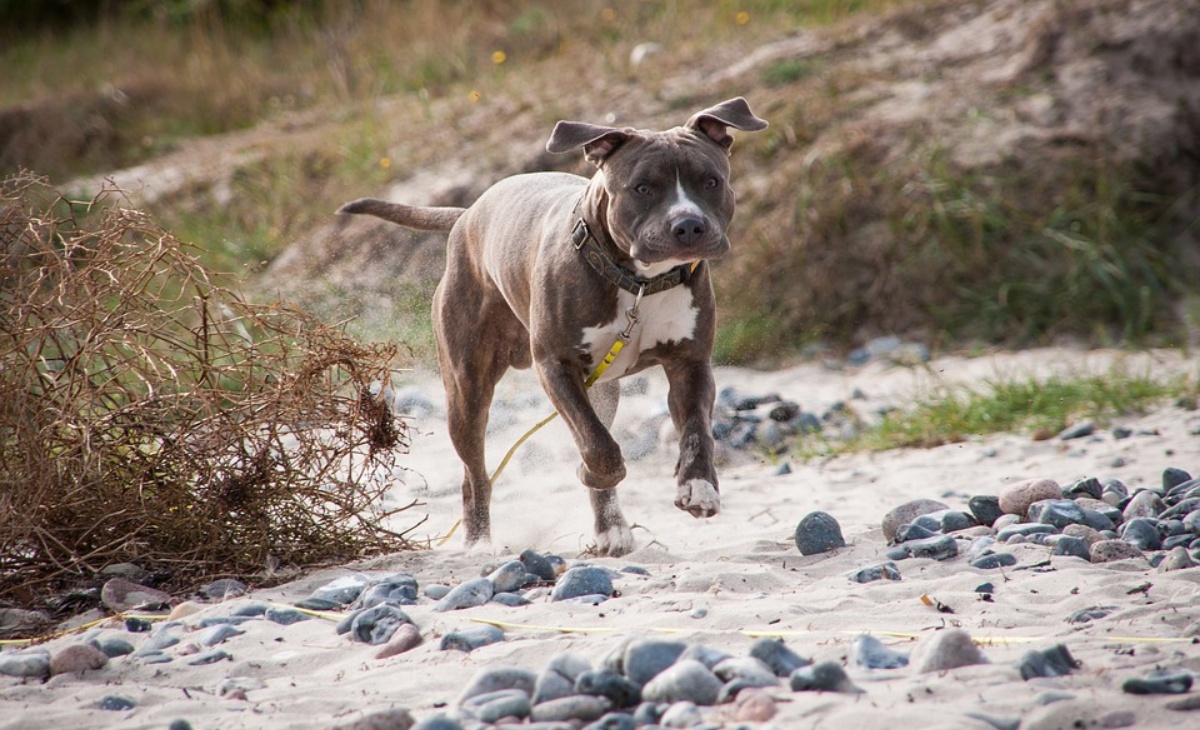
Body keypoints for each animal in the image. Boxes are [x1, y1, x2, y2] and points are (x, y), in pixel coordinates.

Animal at [338, 95, 768, 552]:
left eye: (711, 181)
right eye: (643, 187)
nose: (688, 224)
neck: (638, 283)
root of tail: (469, 213)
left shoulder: (690, 364)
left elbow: (696, 433)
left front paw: (698, 488)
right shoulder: (556, 367)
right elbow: (598, 447)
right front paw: (592, 471)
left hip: (601, 389)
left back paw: (610, 528)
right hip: (466, 389)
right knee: (475, 474)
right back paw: (479, 544)